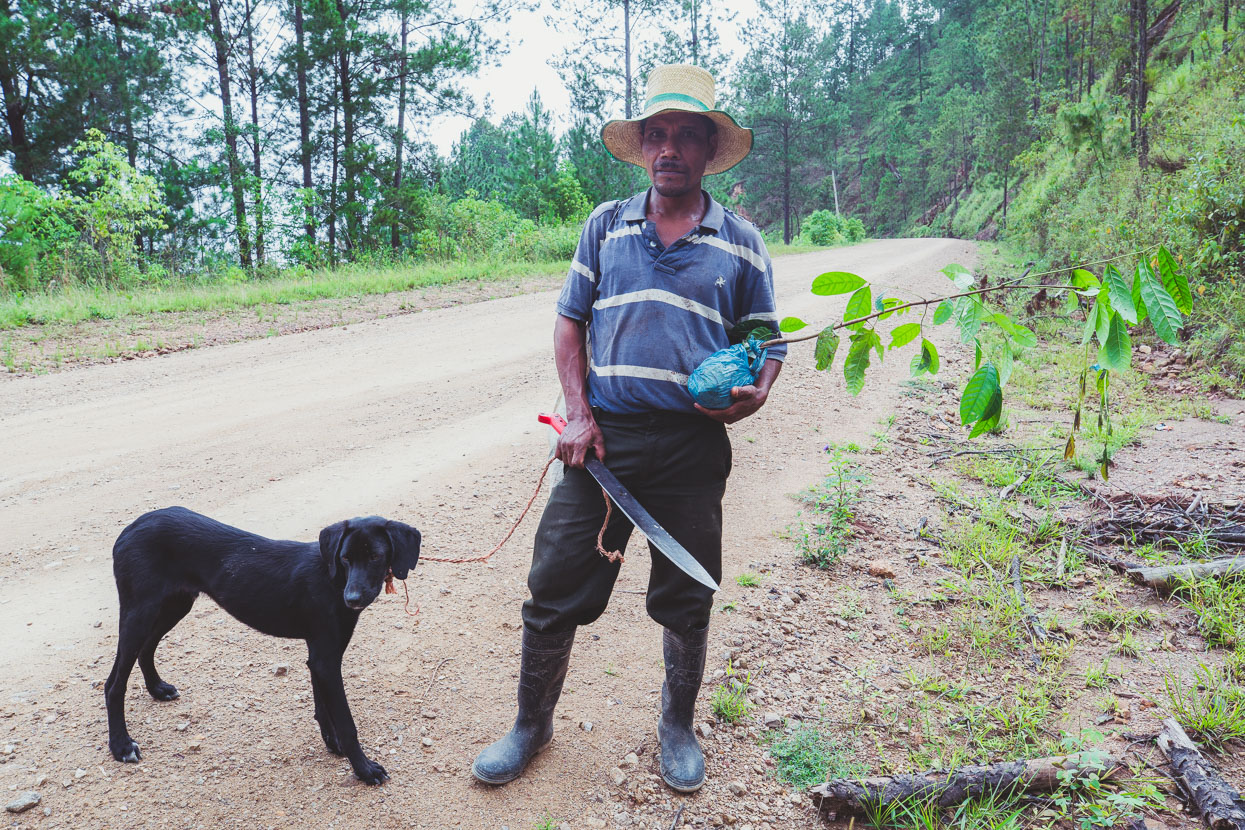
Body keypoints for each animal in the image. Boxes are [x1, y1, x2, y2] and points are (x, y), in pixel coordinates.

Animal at [103, 507, 423, 786]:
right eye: (345, 558)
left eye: (375, 556)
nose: (352, 598)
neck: (332, 579)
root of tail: (129, 529)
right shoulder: (325, 658)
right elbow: (346, 722)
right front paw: (364, 769)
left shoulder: (319, 657)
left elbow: (323, 707)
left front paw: (332, 744)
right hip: (139, 612)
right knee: (113, 683)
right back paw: (121, 745)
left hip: (175, 604)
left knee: (147, 649)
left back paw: (157, 689)